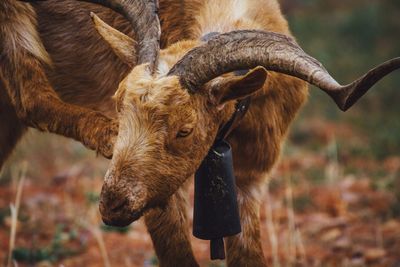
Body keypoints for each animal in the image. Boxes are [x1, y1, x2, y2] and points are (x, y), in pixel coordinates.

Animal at [0, 0, 400, 267]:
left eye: (185, 130)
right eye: (118, 105)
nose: (113, 204)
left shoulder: (249, 181)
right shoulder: (160, 194)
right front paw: (111, 135)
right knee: (30, 95)